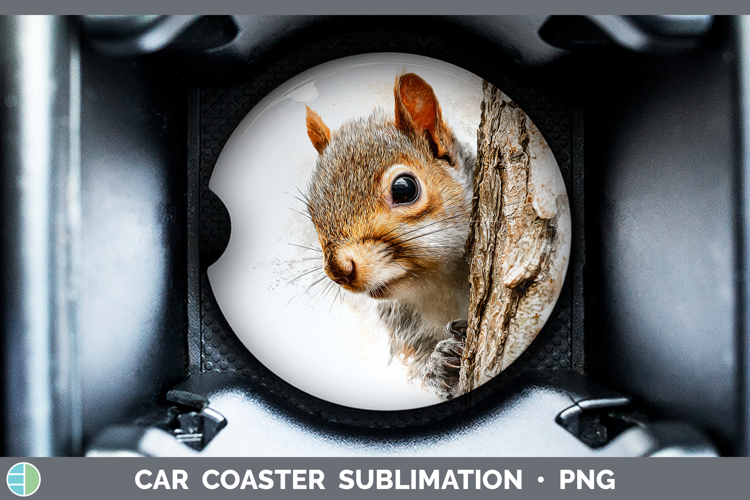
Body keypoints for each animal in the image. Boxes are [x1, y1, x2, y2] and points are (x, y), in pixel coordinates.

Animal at [303, 72, 475, 400]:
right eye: (312, 211)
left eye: (404, 189)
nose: (339, 271)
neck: (440, 285)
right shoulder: (409, 332)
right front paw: (438, 366)